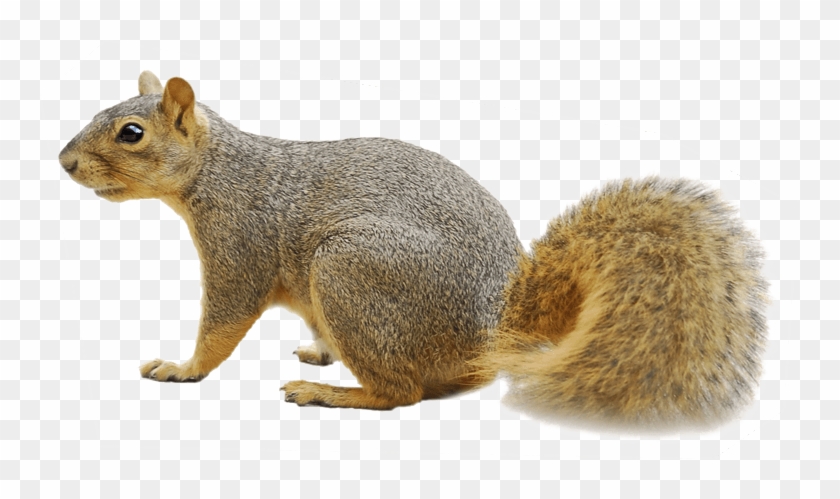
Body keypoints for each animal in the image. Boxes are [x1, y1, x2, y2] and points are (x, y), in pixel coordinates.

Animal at [58, 71, 768, 431]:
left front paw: (183, 369)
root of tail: (498, 324)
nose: (64, 163)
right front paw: (314, 347)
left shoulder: (242, 243)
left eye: (130, 133)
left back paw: (333, 394)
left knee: (400, 393)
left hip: (350, 271)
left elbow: (223, 324)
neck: (216, 172)